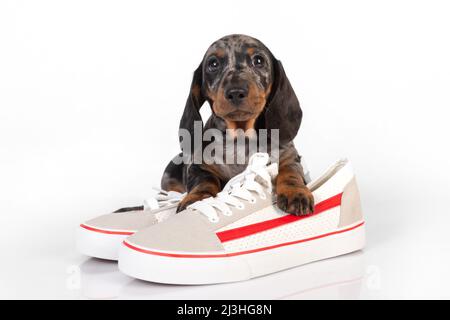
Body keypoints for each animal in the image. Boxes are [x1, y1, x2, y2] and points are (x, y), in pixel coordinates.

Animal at [160, 34, 314, 215]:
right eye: (213, 64)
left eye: (259, 60)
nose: (235, 92)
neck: (241, 139)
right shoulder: (199, 168)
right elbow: (205, 181)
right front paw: (197, 199)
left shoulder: (289, 158)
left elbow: (290, 172)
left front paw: (295, 192)